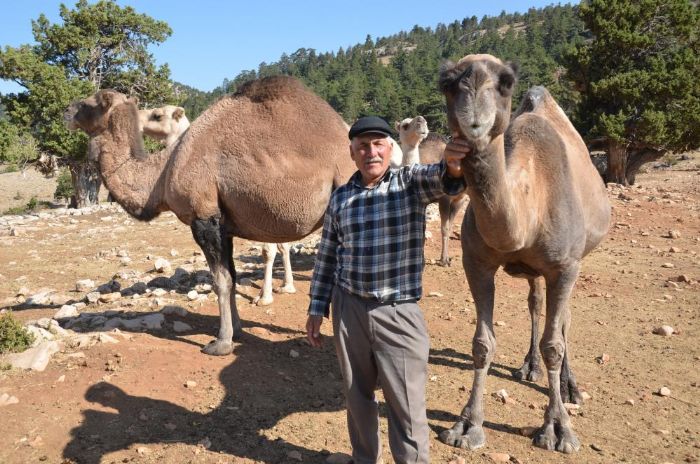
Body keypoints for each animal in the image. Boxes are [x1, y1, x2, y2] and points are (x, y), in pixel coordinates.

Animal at [65, 78, 356, 358]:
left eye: (89, 103)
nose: (66, 111)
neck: (163, 173)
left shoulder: (204, 217)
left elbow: (221, 281)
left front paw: (222, 342)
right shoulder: (225, 226)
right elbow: (233, 275)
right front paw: (237, 328)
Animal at [396, 115, 468, 264]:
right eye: (405, 125)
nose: (421, 120)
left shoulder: (460, 199)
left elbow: (448, 227)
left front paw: (445, 258)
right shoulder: (443, 198)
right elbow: (443, 228)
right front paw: (444, 260)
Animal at [438, 55, 608, 454]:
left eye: (506, 82)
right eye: (447, 82)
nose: (474, 116)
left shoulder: (565, 265)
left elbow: (554, 344)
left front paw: (558, 430)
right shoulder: (476, 262)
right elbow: (482, 344)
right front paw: (466, 426)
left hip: (575, 260)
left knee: (564, 321)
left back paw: (570, 387)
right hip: (534, 271)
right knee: (535, 302)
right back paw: (529, 366)